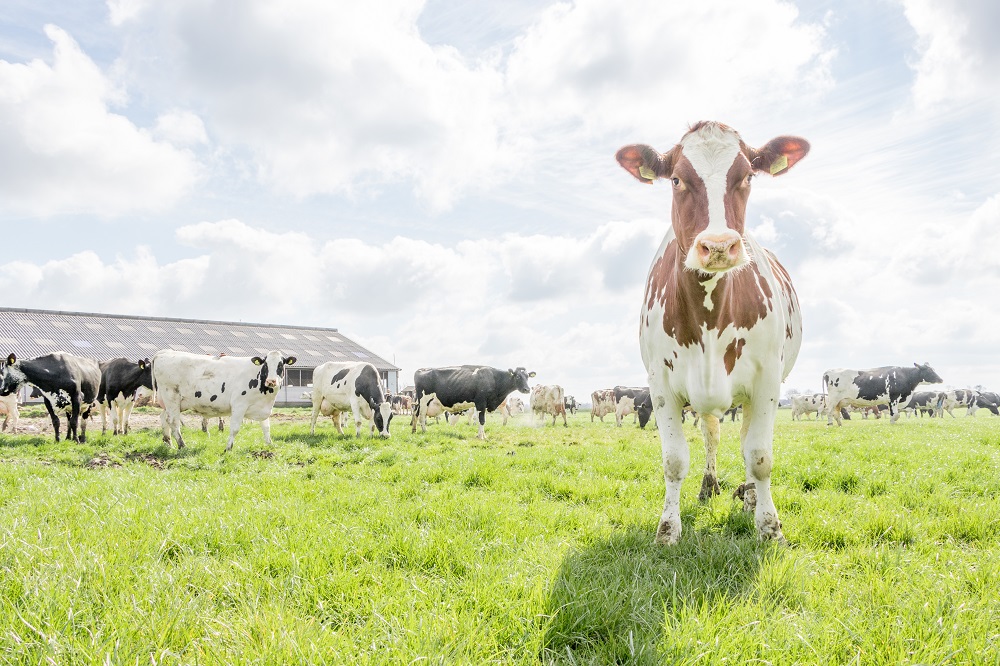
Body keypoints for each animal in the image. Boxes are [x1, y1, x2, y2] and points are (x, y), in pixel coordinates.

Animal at [150, 348, 294, 452]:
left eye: (280, 365)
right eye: (266, 365)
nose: (271, 381)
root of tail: (164, 352)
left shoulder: (262, 407)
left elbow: (266, 428)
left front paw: (270, 445)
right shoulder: (239, 405)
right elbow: (235, 428)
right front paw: (228, 448)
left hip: (172, 403)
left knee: (164, 418)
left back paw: (169, 443)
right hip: (171, 397)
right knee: (173, 422)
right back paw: (182, 446)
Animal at [620, 122, 808, 544]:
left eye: (748, 176)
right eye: (676, 179)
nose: (719, 246)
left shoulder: (767, 381)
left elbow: (759, 456)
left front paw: (769, 527)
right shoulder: (659, 384)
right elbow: (674, 460)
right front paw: (667, 530)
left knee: (745, 441)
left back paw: (751, 498)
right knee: (712, 434)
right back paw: (709, 486)